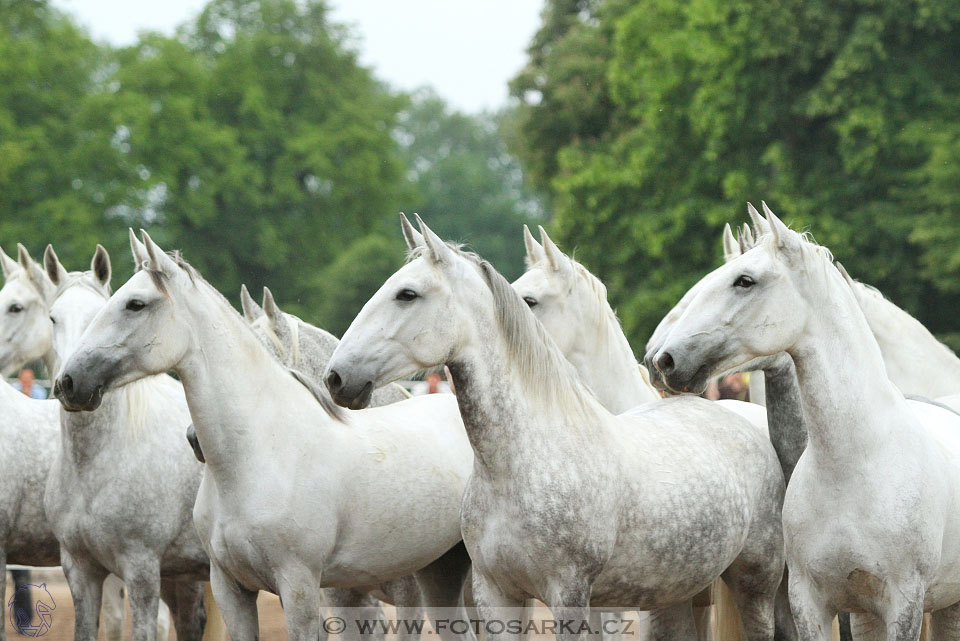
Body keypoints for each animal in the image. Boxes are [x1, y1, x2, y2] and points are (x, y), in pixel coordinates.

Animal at [322, 215, 788, 640]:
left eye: (407, 294)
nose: (337, 377)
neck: (524, 460)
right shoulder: (498, 594)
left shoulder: (570, 596)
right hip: (678, 592)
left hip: (755, 583)